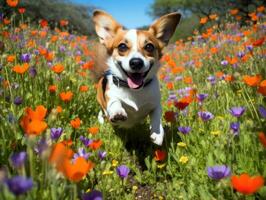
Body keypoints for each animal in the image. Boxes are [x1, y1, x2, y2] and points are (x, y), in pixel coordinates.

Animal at [91, 9, 181, 145]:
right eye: (122, 46)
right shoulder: (111, 97)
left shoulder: (155, 104)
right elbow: (115, 102)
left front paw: (157, 133)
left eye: (149, 46)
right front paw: (118, 111)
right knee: (102, 113)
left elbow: (156, 115)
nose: (136, 62)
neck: (134, 91)